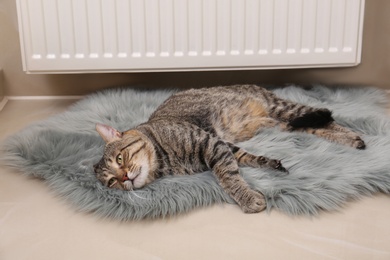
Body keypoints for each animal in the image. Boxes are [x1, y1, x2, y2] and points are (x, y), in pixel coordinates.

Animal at [94, 85, 366, 213]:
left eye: (120, 159)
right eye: (111, 182)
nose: (124, 178)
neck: (165, 163)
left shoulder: (211, 145)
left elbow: (228, 177)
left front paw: (247, 199)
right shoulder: (224, 145)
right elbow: (247, 158)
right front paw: (268, 163)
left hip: (283, 109)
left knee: (324, 117)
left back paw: (354, 137)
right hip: (284, 123)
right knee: (315, 126)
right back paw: (351, 140)